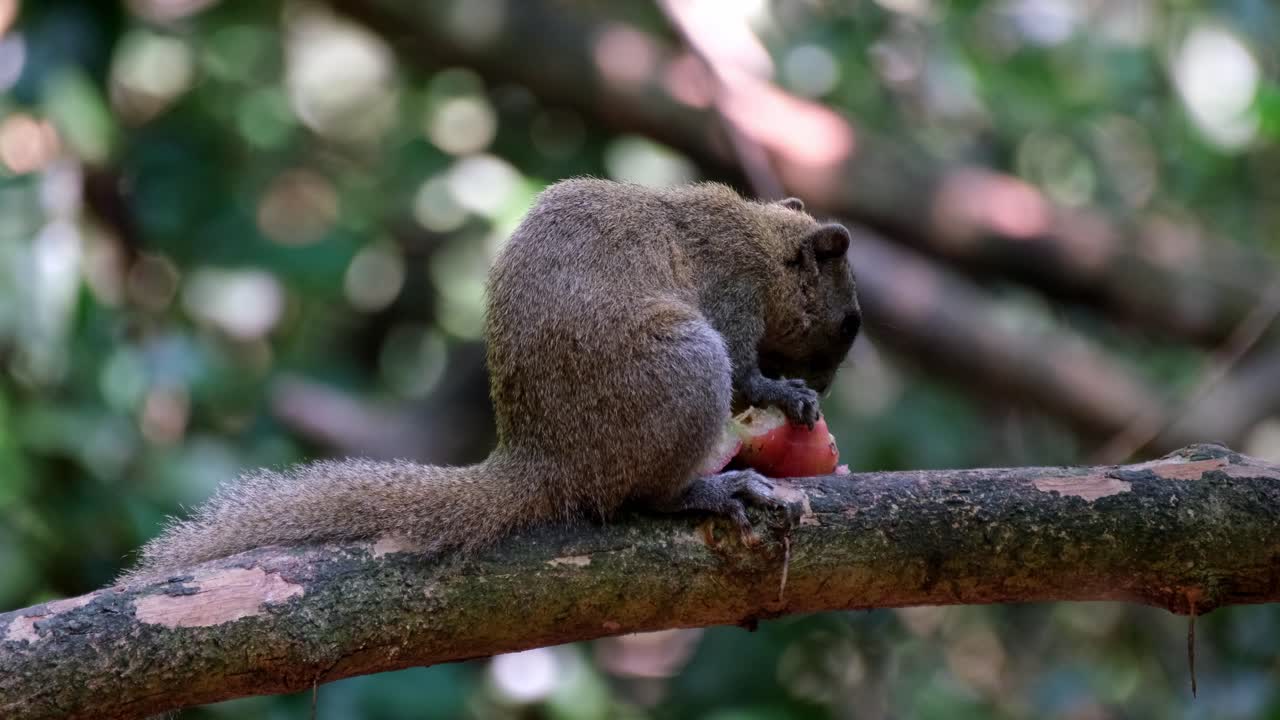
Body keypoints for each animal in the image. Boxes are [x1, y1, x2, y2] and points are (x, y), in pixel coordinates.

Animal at [122, 179, 861, 580]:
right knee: (645, 496)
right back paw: (711, 487)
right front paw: (784, 396)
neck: (762, 240)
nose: (825, 387)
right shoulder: (732, 294)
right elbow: (745, 375)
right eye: (849, 323)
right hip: (684, 369)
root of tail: (546, 461)